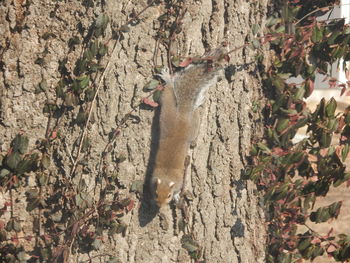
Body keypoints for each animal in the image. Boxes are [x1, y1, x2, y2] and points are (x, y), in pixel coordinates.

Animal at [150, 47, 227, 208]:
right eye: (156, 193)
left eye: (168, 195)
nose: (160, 205)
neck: (166, 175)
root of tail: (182, 114)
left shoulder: (179, 182)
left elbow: (179, 189)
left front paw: (177, 196)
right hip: (167, 103)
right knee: (169, 90)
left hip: (193, 124)